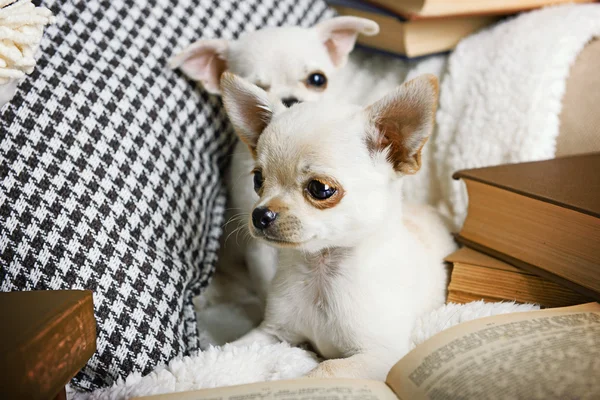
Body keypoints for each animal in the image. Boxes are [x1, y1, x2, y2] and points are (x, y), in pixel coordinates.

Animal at [220, 72, 454, 382]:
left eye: (320, 189)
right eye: (258, 180)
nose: (260, 215)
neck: (321, 271)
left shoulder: (380, 356)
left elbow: (324, 371)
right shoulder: (272, 333)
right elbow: (233, 349)